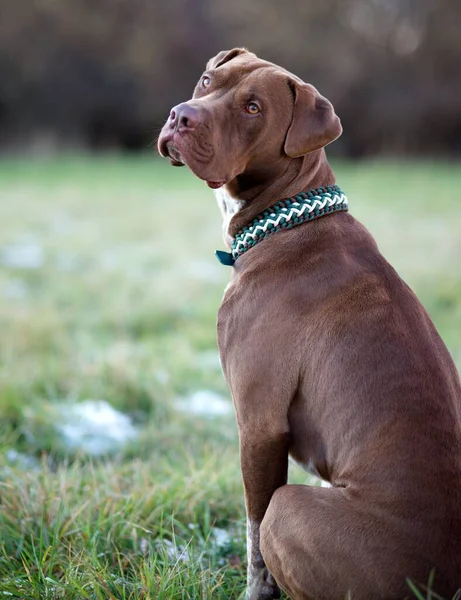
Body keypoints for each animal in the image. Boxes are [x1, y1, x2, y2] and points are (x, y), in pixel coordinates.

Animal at [158, 48, 460, 600]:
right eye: (208, 80)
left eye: (253, 108)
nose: (180, 116)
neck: (288, 215)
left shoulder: (259, 424)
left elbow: (255, 537)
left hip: (291, 510)